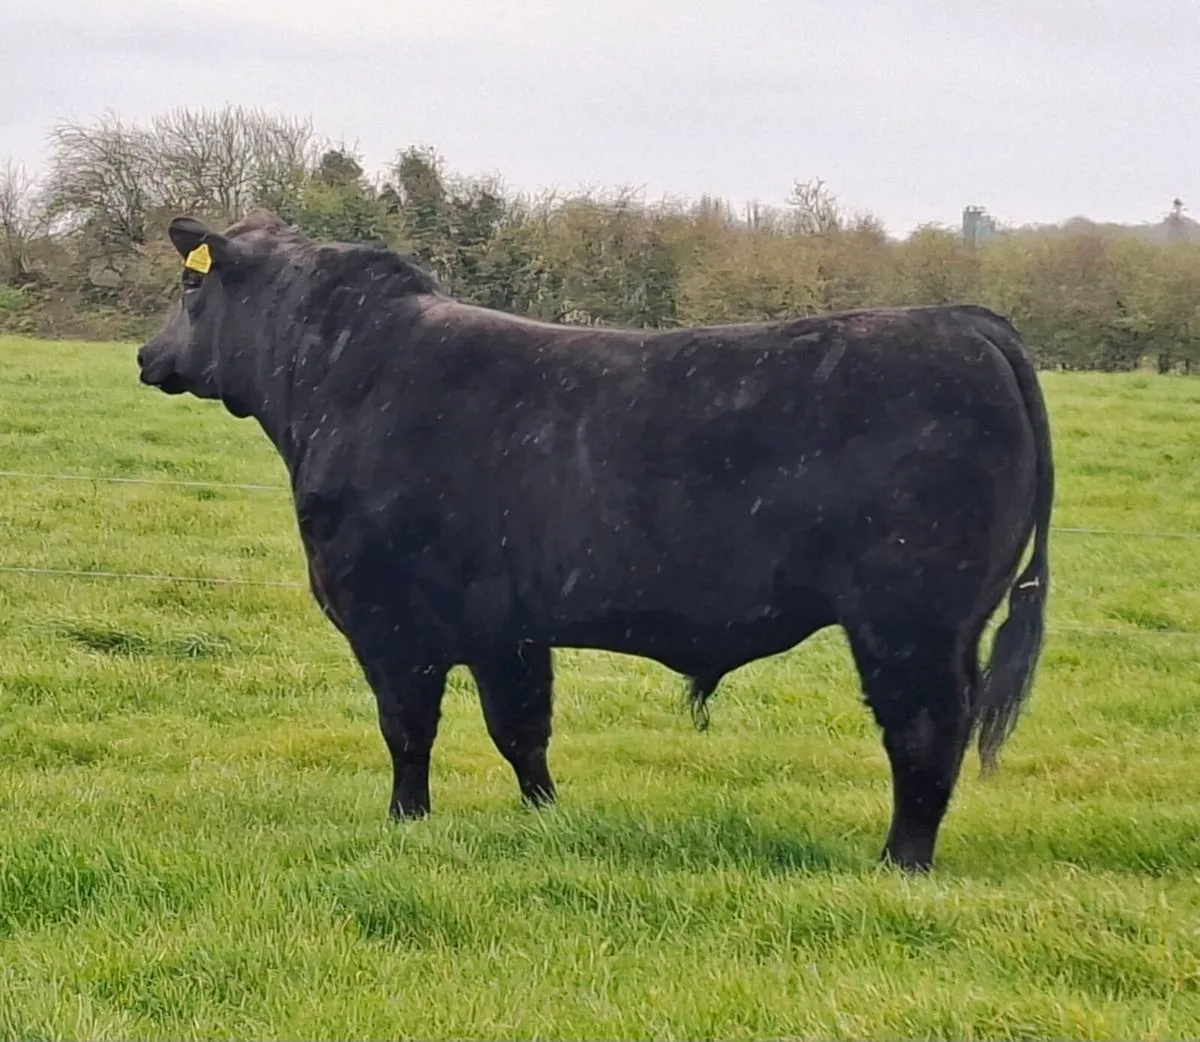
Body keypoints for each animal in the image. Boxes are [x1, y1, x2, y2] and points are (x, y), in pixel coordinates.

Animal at [136, 209, 1054, 873]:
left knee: (927, 731)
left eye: (188, 287)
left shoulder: (390, 619)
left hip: (911, 621)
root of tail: (963, 322)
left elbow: (408, 731)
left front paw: (405, 823)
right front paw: (544, 819)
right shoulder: (506, 630)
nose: (146, 354)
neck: (340, 378)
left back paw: (901, 861)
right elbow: (521, 730)